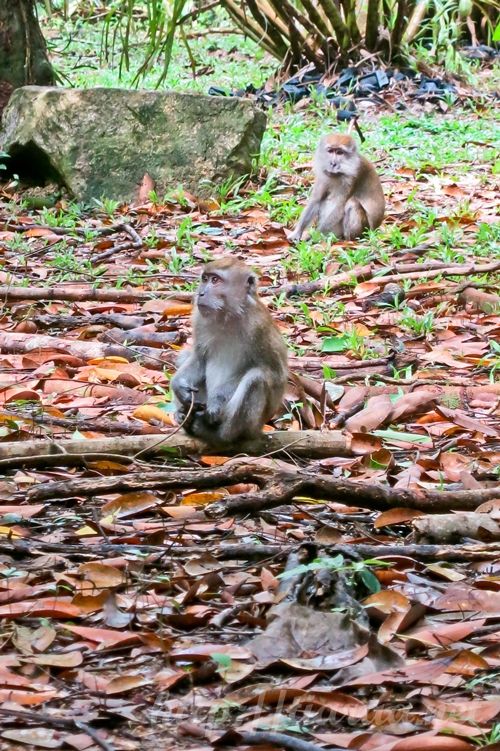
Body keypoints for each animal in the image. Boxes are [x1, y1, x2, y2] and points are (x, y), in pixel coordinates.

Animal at [172, 258, 290, 446]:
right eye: (205, 279)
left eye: (215, 280)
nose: (201, 293)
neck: (228, 316)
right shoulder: (199, 320)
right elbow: (199, 358)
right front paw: (179, 386)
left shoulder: (258, 328)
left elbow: (272, 372)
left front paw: (217, 400)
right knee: (185, 356)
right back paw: (185, 416)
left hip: (252, 426)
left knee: (256, 378)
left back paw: (217, 434)